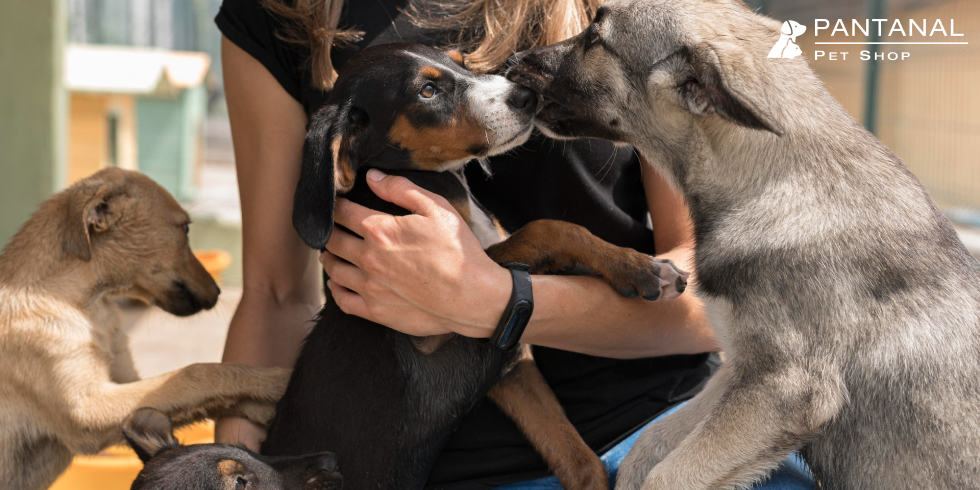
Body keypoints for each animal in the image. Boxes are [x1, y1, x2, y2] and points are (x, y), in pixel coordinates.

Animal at [0, 169, 290, 490]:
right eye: (185, 228)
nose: (217, 293)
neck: (88, 306)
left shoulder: (127, 383)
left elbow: (202, 396)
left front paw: (263, 407)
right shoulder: (87, 409)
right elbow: (197, 373)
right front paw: (276, 379)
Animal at [510, 0, 980, 490]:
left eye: (595, 39)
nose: (513, 62)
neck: (776, 181)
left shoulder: (781, 389)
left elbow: (666, 476)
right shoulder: (736, 372)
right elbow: (651, 446)